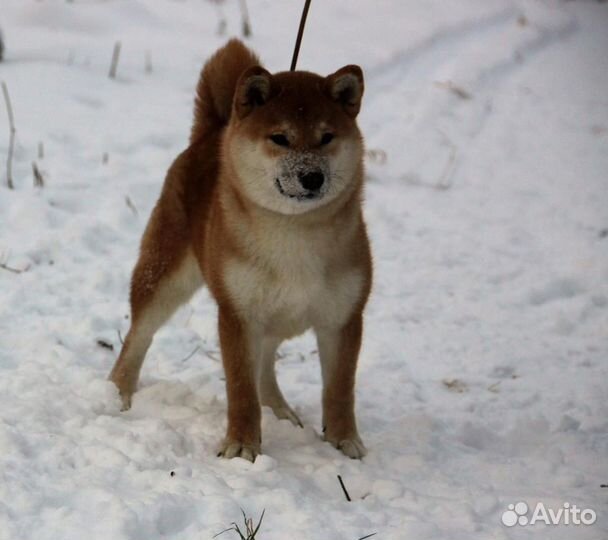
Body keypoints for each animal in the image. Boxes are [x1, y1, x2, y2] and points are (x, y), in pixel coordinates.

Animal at [111, 38, 372, 462]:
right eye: (280, 138)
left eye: (326, 137)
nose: (311, 176)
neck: (294, 234)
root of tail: (212, 131)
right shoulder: (238, 313)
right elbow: (240, 389)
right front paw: (241, 446)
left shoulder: (343, 316)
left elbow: (339, 389)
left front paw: (344, 441)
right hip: (164, 277)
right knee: (138, 336)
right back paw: (116, 393)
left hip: (276, 315)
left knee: (265, 364)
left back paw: (282, 413)